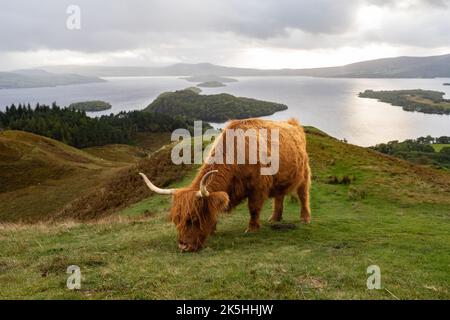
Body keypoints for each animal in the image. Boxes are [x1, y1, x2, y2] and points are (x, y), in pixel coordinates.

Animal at [139, 118, 312, 252]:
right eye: (177, 219)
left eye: (194, 218)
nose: (183, 247)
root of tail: (293, 123)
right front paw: (213, 229)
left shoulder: (258, 187)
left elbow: (253, 208)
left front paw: (252, 228)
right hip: (280, 179)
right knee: (279, 196)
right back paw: (275, 218)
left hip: (304, 173)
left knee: (303, 195)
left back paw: (305, 218)